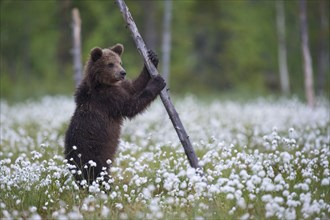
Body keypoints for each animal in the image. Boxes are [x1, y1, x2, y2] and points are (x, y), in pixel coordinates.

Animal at [65, 43, 166, 185]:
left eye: (120, 62)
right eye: (110, 64)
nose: (123, 72)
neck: (101, 83)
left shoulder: (120, 87)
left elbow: (133, 86)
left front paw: (152, 58)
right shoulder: (108, 100)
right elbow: (131, 106)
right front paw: (157, 82)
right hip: (93, 154)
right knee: (99, 175)